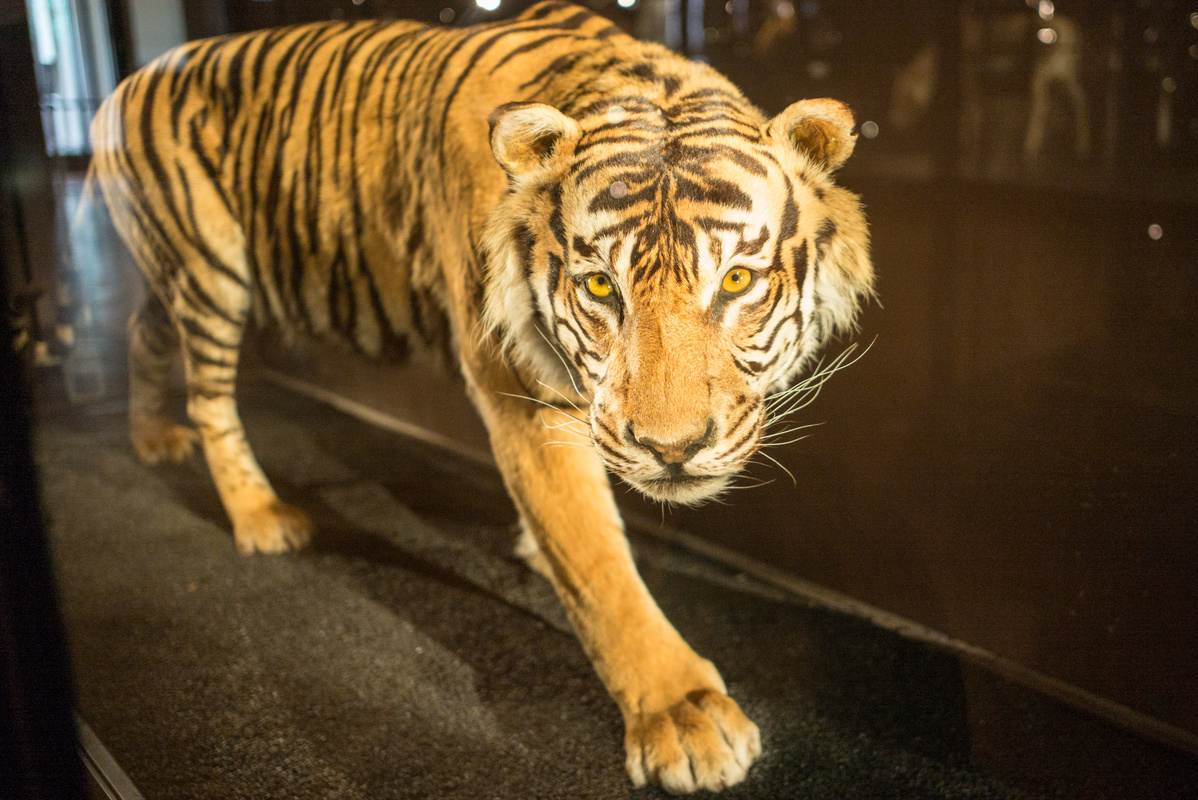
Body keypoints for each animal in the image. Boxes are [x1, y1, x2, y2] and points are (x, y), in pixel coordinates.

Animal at [87, 1, 873, 792]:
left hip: (175, 279)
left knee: (141, 330)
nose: (670, 449)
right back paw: (259, 516)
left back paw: (152, 437)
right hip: (211, 266)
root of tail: (124, 86)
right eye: (600, 287)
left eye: (737, 281)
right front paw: (679, 714)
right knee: (209, 400)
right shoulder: (518, 386)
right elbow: (594, 561)